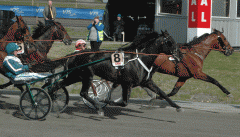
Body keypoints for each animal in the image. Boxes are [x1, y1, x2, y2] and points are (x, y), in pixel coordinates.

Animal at [53, 31, 182, 115]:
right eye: (170, 42)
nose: (180, 55)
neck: (139, 59)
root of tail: (73, 55)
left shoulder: (146, 82)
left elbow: (162, 93)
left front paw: (177, 107)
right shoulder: (127, 83)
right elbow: (124, 102)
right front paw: (104, 101)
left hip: (75, 76)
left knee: (58, 85)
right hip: (86, 75)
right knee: (83, 93)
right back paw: (98, 108)